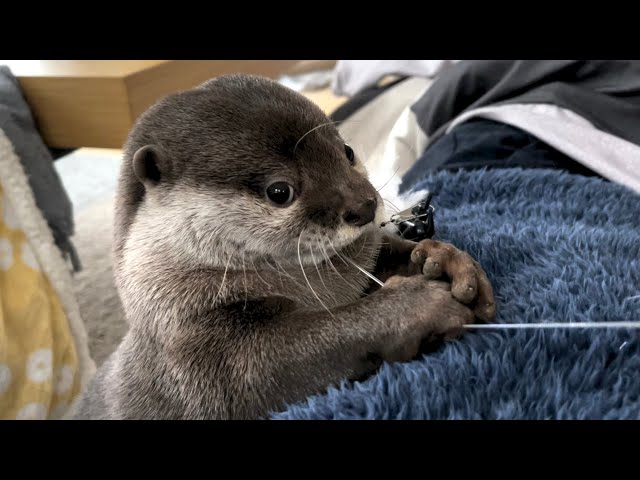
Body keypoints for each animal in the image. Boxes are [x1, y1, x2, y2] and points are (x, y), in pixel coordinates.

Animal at [74, 74, 496, 420]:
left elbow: (384, 255)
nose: (365, 206)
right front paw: (417, 305)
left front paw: (445, 260)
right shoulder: (194, 348)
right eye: (280, 191)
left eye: (346, 151)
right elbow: (281, 360)